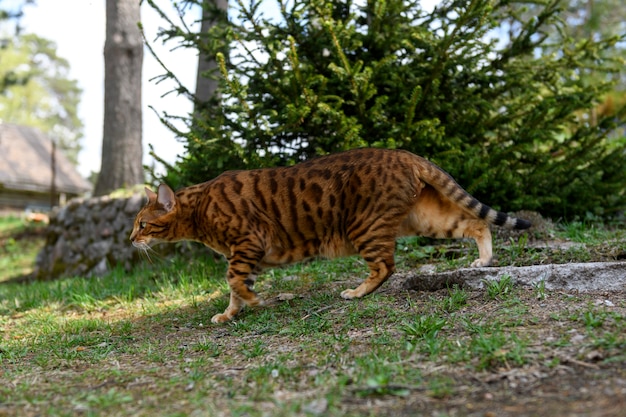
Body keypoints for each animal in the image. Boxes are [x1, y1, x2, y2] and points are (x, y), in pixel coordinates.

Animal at [129, 148, 528, 324]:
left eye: (143, 224)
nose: (131, 239)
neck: (198, 209)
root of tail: (403, 153)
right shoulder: (247, 255)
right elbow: (235, 288)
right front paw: (230, 314)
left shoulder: (246, 244)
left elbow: (235, 282)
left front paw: (257, 303)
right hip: (424, 217)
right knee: (476, 223)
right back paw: (484, 259)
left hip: (363, 224)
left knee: (386, 265)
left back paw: (356, 292)